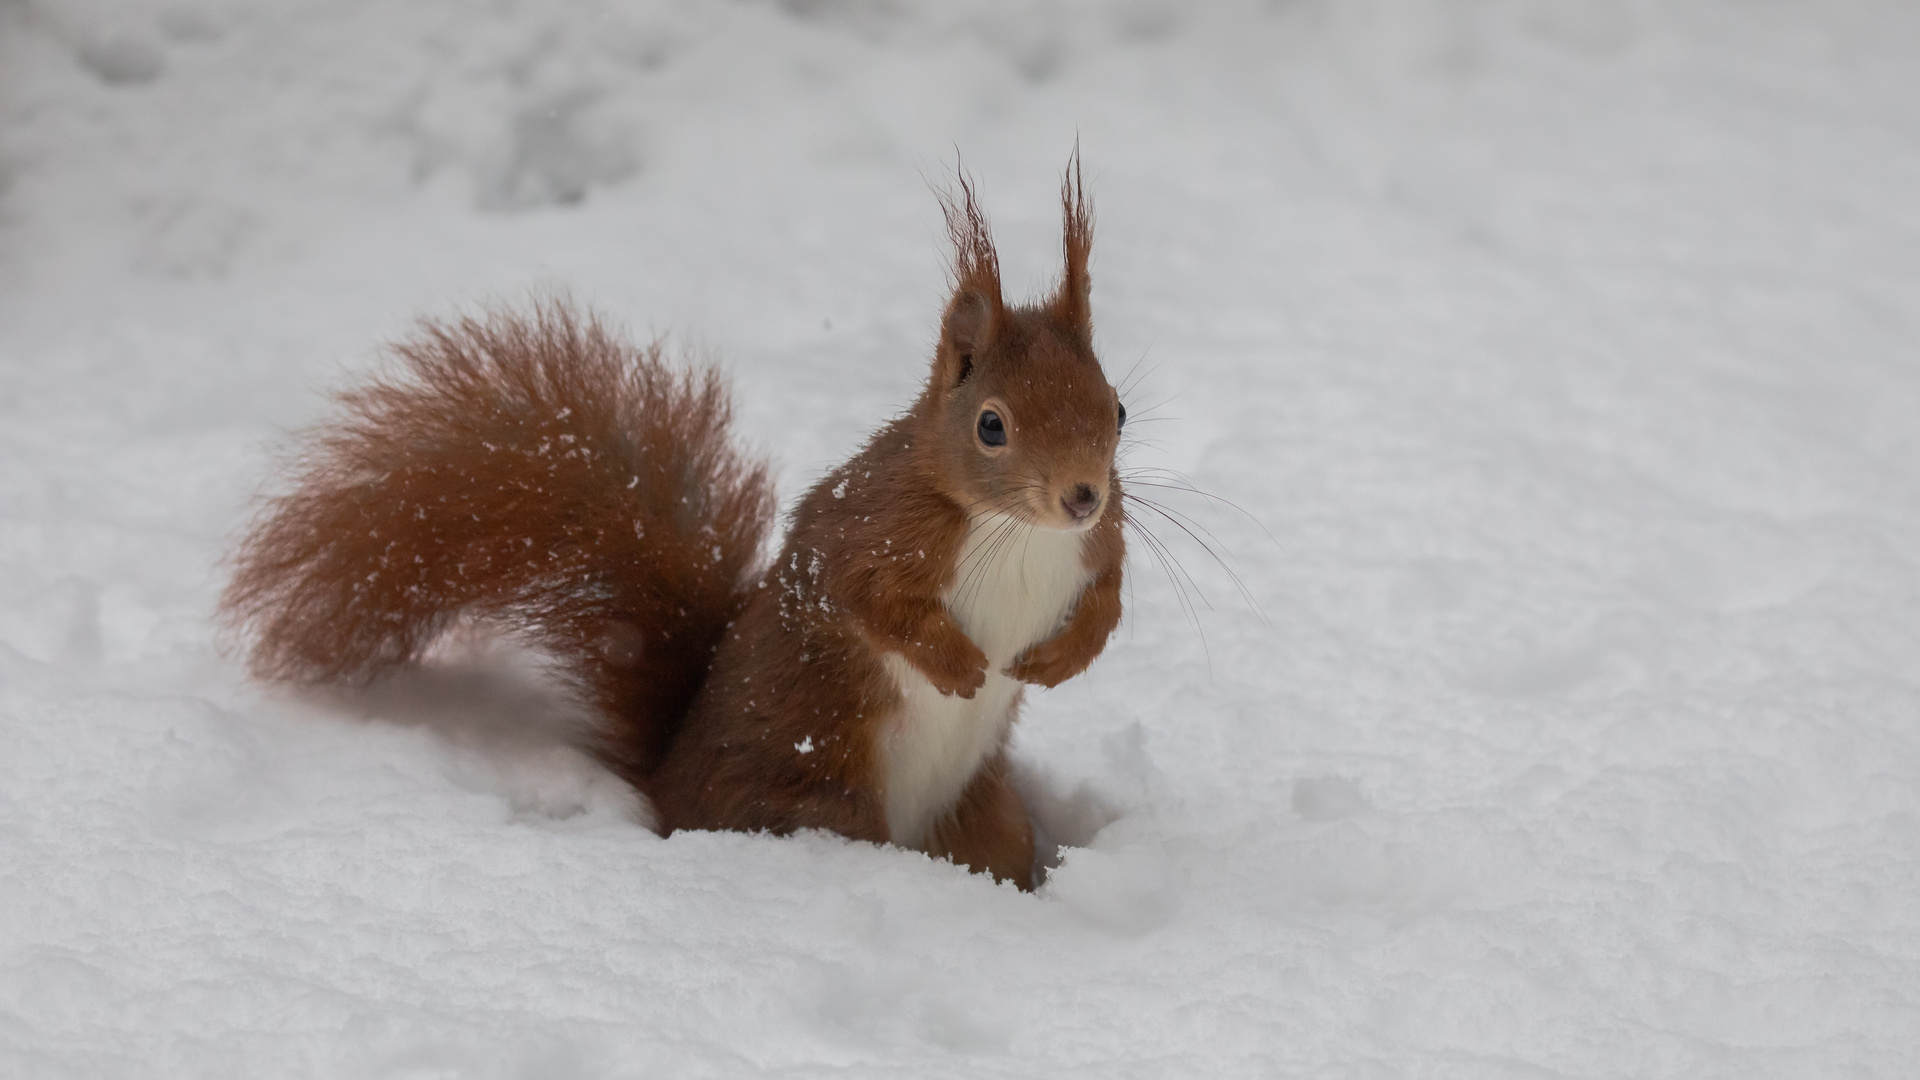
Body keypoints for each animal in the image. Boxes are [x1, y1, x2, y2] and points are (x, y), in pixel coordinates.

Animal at [222, 159, 1121, 883]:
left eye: (1116, 407)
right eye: (992, 426)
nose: (1084, 495)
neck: (1019, 531)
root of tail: (669, 783)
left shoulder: (1100, 548)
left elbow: (1107, 602)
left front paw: (1058, 661)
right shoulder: (874, 531)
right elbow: (869, 598)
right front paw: (961, 666)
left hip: (985, 816)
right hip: (817, 798)